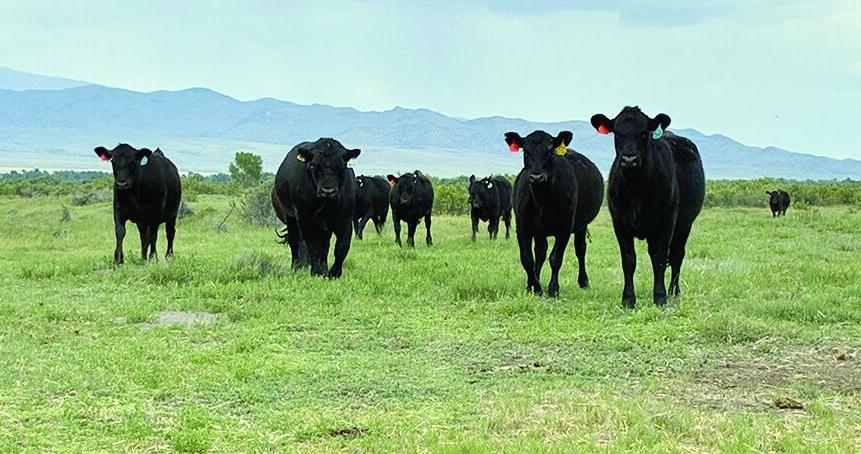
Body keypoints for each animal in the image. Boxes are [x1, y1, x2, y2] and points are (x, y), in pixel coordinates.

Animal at [271, 138, 360, 278]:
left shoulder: (345, 220)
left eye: (341, 165)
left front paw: (334, 273)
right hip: (291, 217)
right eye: (313, 165)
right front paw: (317, 272)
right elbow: (313, 246)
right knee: (295, 241)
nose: (328, 191)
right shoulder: (306, 220)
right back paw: (296, 266)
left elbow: (342, 246)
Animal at [505, 130, 604, 296]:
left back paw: (584, 281)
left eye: (550, 151)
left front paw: (553, 289)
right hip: (539, 231)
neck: (541, 201)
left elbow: (556, 258)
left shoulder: (564, 228)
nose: (536, 177)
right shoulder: (522, 227)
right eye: (526, 151)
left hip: (581, 225)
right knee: (540, 253)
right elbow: (527, 258)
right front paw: (534, 286)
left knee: (580, 250)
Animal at [591, 106, 705, 308]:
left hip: (685, 225)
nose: (629, 159)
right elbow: (629, 259)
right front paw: (628, 299)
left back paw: (674, 292)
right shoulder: (619, 222)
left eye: (644, 133)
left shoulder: (666, 222)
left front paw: (660, 297)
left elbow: (659, 258)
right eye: (617, 133)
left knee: (676, 257)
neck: (636, 189)